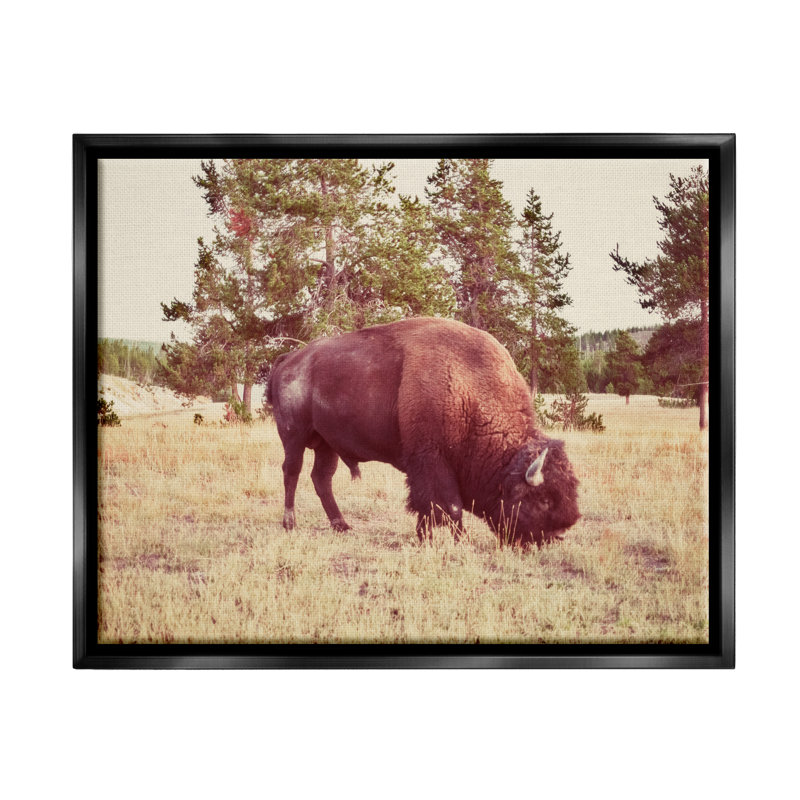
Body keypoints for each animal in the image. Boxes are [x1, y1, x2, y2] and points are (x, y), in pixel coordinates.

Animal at [267, 317, 580, 546]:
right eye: (543, 500)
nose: (557, 536)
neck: (469, 390)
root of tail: (290, 359)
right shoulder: (431, 461)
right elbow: (449, 506)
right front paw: (457, 541)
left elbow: (428, 507)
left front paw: (426, 537)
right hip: (294, 435)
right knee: (291, 472)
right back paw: (290, 524)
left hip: (327, 444)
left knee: (322, 478)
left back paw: (341, 525)